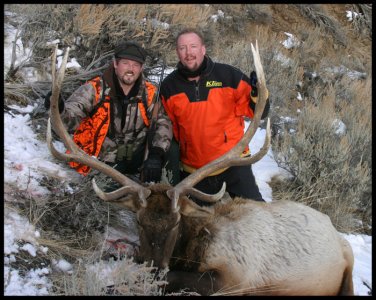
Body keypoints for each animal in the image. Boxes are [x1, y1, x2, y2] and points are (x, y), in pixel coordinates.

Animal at [45, 43, 354, 296]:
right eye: (140, 223)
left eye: (176, 223)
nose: (155, 267)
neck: (194, 243)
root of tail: (336, 234)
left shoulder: (234, 278)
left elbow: (173, 279)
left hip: (346, 269)